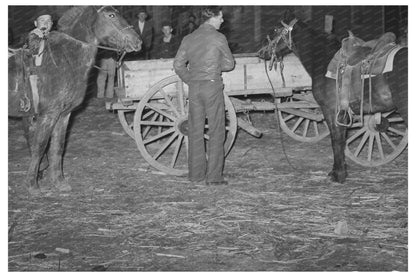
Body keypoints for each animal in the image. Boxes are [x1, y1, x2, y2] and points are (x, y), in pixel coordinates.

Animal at [7, 5, 141, 192]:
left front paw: (59, 182)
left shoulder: (63, 115)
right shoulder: (48, 115)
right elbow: (39, 147)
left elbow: (57, 147)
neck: (64, 60)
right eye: (111, 15)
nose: (137, 41)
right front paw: (32, 185)